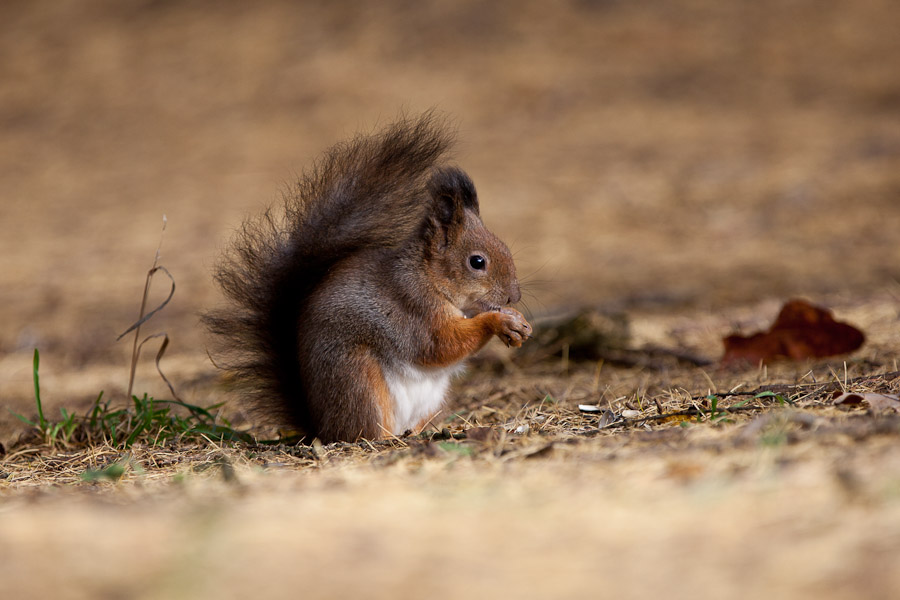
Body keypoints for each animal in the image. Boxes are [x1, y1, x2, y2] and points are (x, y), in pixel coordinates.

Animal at [204, 113, 532, 440]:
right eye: (477, 262)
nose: (513, 296)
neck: (428, 276)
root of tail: (320, 427)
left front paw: (517, 320)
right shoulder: (414, 307)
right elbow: (440, 344)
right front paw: (500, 321)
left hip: (431, 399)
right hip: (360, 380)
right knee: (366, 430)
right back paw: (388, 438)